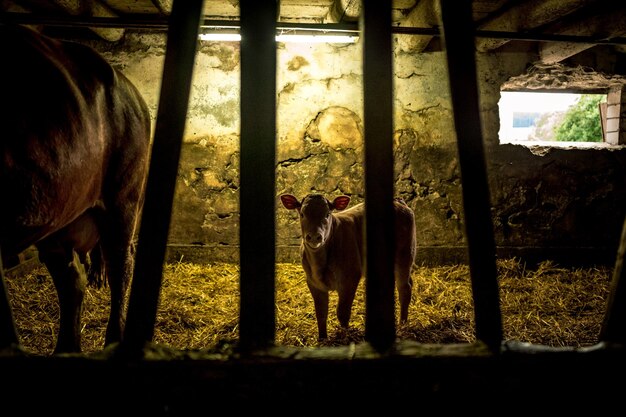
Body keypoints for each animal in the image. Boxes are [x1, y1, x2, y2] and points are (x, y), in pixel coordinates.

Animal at [278, 193, 414, 340]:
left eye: (327, 214)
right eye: (302, 214)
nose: (314, 237)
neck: (320, 264)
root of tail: (398, 201)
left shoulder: (349, 279)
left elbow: (342, 312)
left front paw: (343, 335)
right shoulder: (313, 283)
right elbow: (321, 312)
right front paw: (322, 338)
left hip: (404, 255)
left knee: (404, 288)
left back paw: (402, 325)